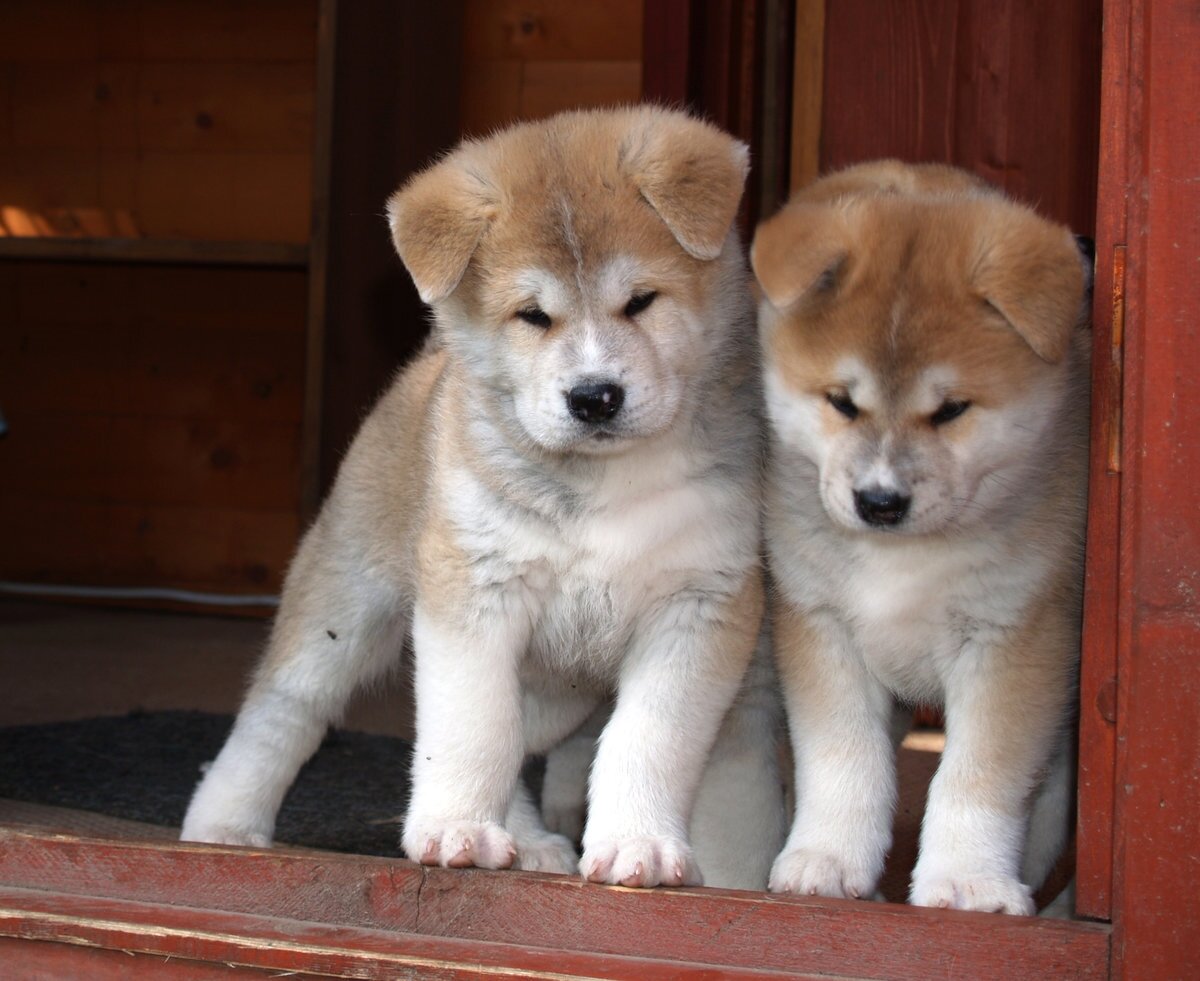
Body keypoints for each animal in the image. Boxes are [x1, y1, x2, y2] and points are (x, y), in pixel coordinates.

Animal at [180, 106, 777, 887]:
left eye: (641, 301)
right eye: (533, 316)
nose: (594, 397)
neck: (604, 483)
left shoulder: (701, 604)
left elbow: (648, 739)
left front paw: (637, 842)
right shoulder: (475, 591)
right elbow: (472, 727)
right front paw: (455, 826)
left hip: (556, 691)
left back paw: (530, 841)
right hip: (345, 597)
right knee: (283, 707)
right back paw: (222, 824)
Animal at [753, 158, 1094, 911]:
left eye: (952, 410)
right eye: (841, 401)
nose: (880, 501)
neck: (903, 559)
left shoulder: (1014, 638)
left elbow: (977, 777)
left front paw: (966, 880)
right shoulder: (821, 624)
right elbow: (845, 761)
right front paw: (827, 858)